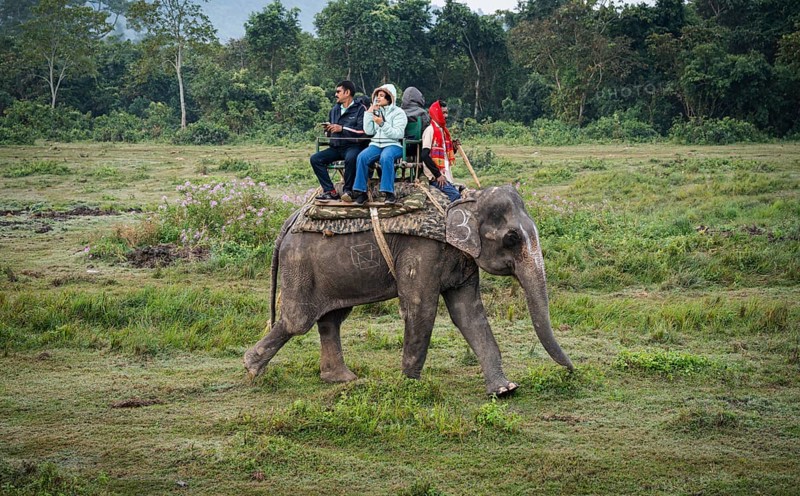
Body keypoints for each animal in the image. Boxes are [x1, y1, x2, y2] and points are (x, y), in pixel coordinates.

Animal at [243, 185, 574, 396]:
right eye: (511, 238)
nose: (571, 372)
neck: (462, 201)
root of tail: (290, 219)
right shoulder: (422, 251)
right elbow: (421, 308)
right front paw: (410, 386)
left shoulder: (462, 258)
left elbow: (468, 314)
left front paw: (505, 390)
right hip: (299, 261)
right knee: (297, 320)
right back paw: (251, 369)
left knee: (332, 319)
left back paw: (342, 379)